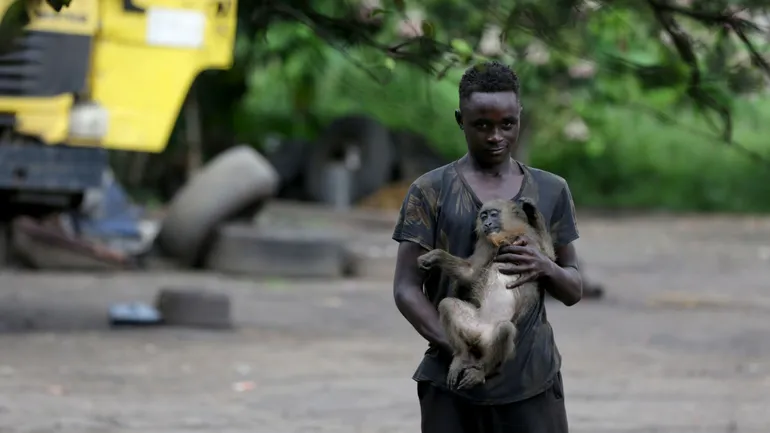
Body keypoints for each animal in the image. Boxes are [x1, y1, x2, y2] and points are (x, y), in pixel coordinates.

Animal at [416, 197, 555, 390]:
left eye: (493, 214)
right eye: (484, 216)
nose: (487, 223)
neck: (508, 236)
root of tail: (479, 334)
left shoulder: (530, 240)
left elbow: (549, 261)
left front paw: (532, 212)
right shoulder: (488, 242)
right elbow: (470, 273)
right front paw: (435, 256)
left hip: (491, 340)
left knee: (504, 330)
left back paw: (481, 371)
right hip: (472, 324)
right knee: (447, 305)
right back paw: (461, 356)